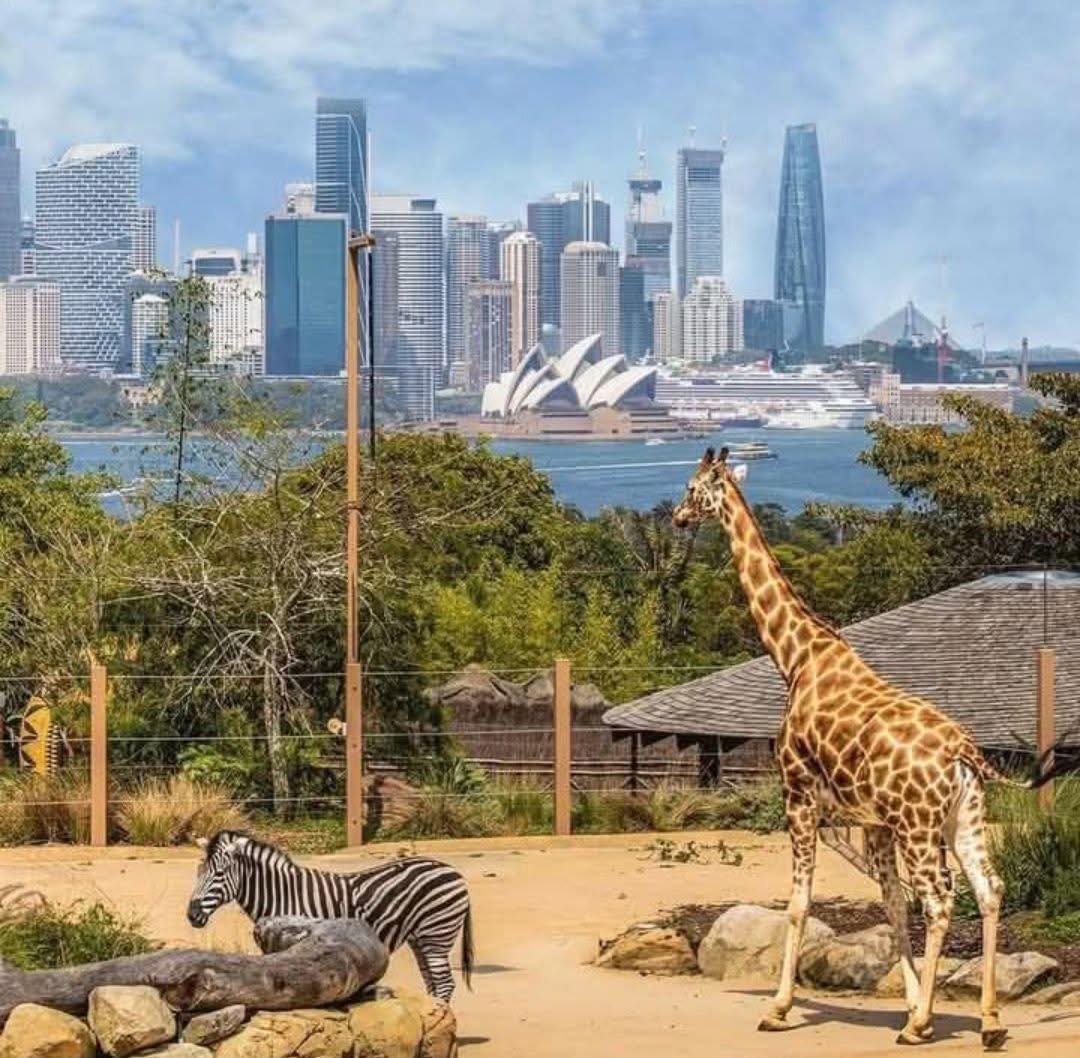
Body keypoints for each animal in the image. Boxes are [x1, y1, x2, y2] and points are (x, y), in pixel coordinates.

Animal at [186, 830, 473, 1002]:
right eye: (198, 872)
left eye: (219, 874)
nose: (191, 915)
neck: (282, 892)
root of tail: (453, 871)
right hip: (419, 938)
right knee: (432, 982)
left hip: (437, 933)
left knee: (445, 983)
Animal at [672, 446, 1038, 1050]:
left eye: (692, 485)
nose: (678, 518)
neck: (796, 657)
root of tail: (965, 754)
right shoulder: (873, 821)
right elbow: (891, 903)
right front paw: (914, 1000)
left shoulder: (799, 797)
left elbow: (799, 901)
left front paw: (778, 1007)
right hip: (963, 819)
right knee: (988, 888)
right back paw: (988, 1022)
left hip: (920, 826)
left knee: (941, 899)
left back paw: (918, 1029)